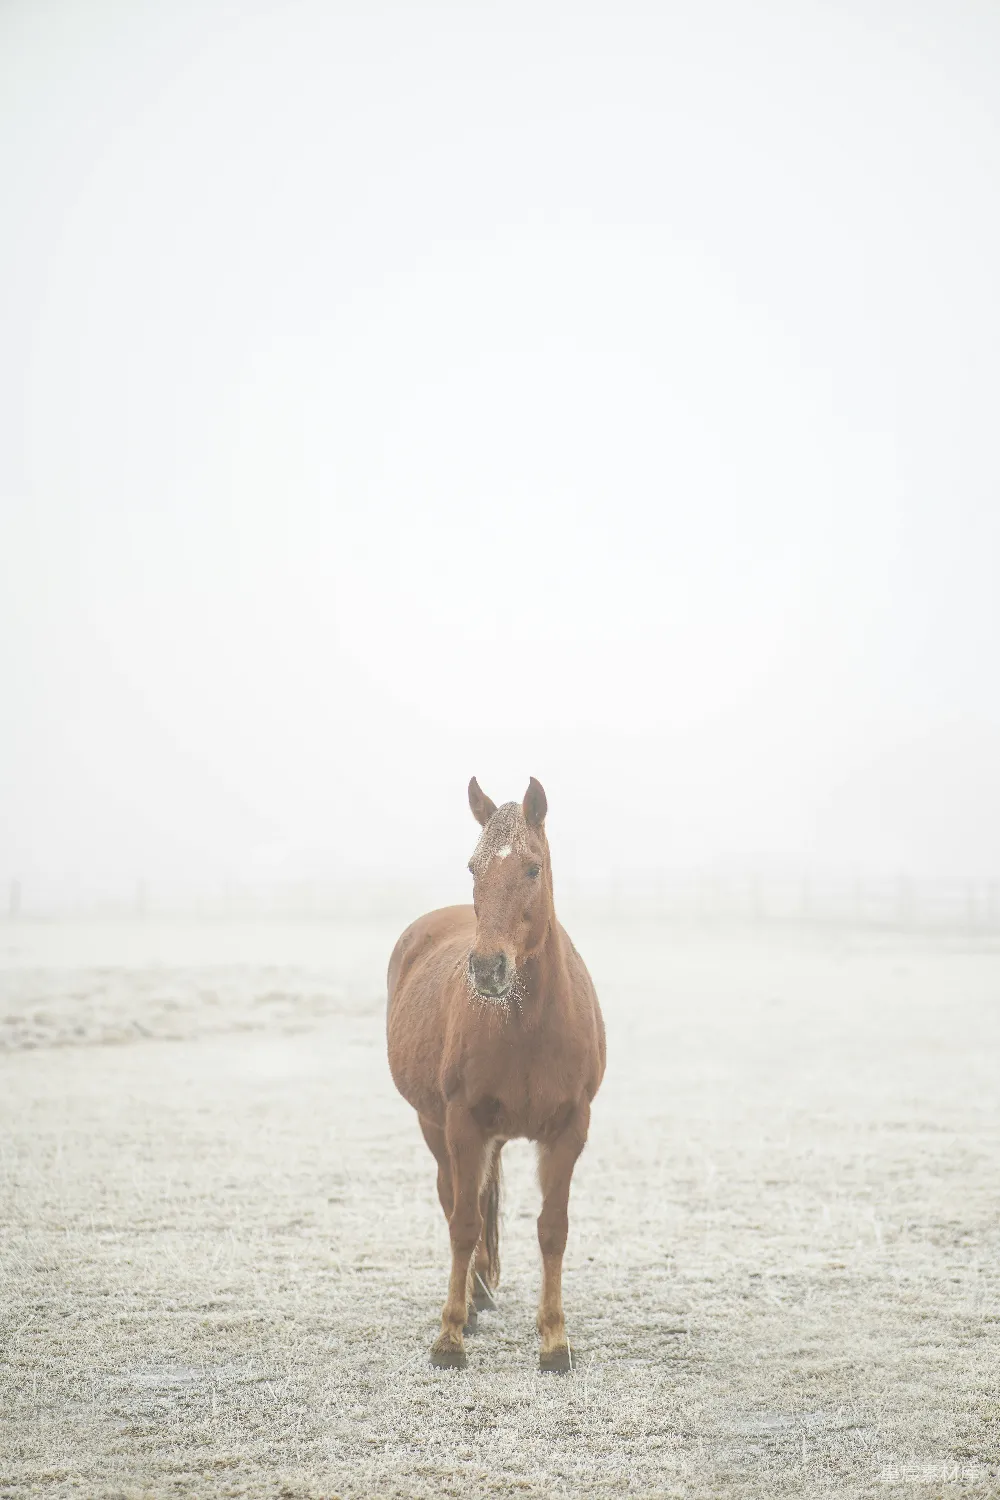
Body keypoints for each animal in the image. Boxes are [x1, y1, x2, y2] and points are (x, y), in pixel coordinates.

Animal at [386, 776, 606, 1371]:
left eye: (532, 868)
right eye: (473, 867)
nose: (487, 969)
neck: (527, 1026)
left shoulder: (570, 1128)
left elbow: (552, 1229)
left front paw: (554, 1341)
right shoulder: (463, 1123)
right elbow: (463, 1223)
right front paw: (449, 1336)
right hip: (434, 1124)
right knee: (454, 1199)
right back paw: (474, 1299)